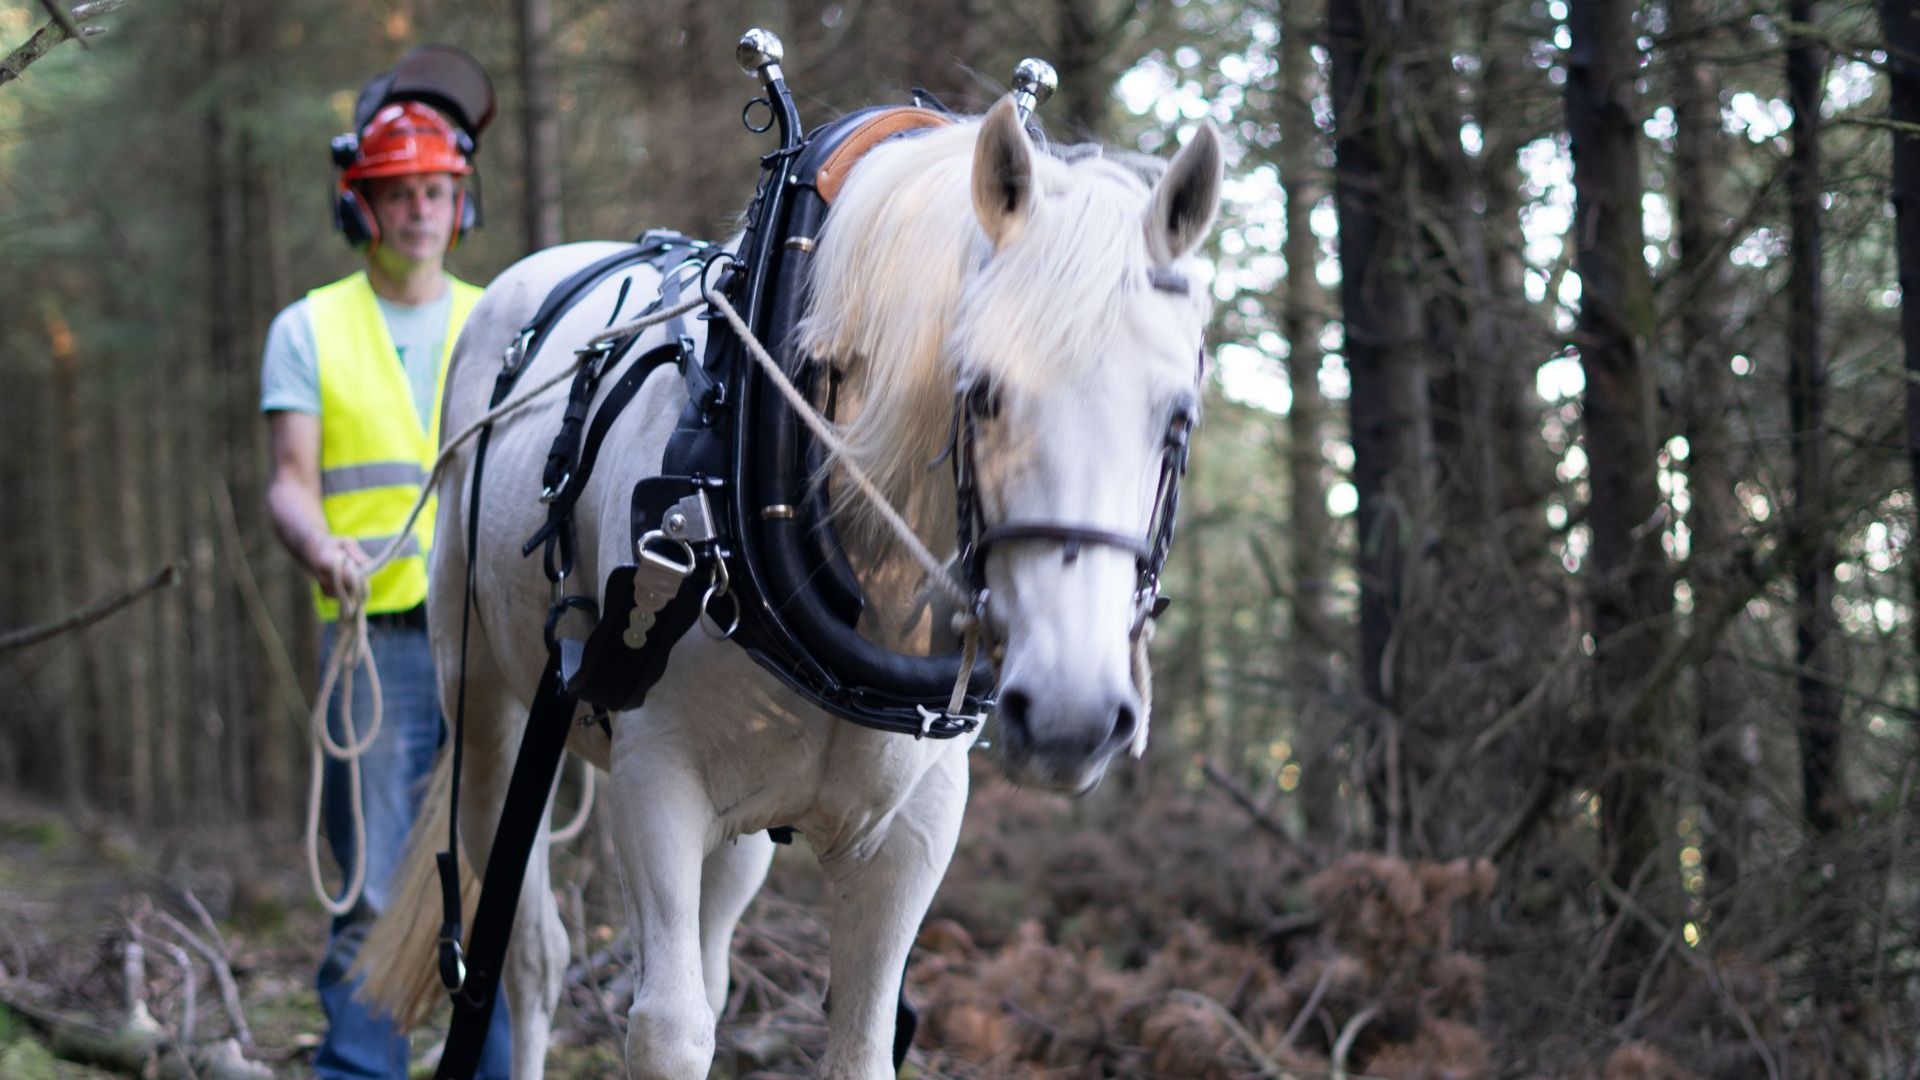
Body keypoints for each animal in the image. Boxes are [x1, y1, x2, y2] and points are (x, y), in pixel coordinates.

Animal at [357, 96, 1223, 1079]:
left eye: (1179, 415)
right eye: (984, 393)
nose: (1074, 714)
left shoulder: (915, 829)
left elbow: (858, 1043)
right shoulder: (654, 779)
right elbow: (668, 1030)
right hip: (486, 712)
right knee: (529, 956)